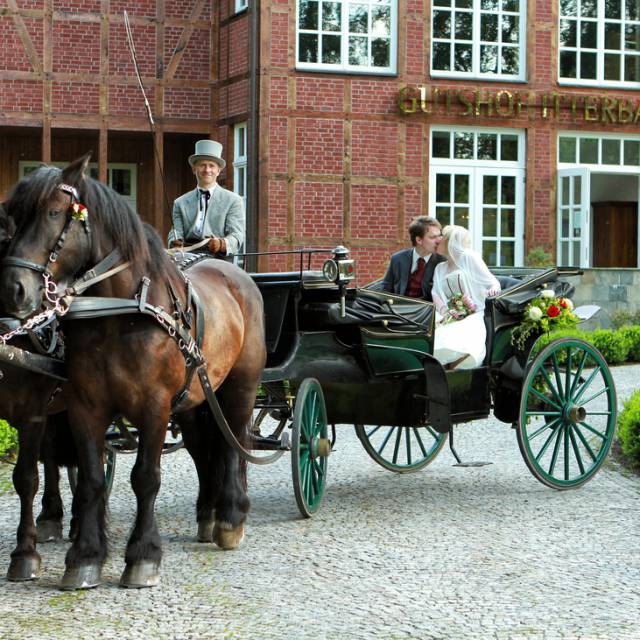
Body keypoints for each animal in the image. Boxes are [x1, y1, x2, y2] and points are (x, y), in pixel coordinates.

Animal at [0, 156, 264, 592]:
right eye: (12, 218)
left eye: (53, 213)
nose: (14, 290)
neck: (118, 311)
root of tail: (237, 277)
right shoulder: (84, 405)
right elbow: (90, 478)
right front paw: (85, 557)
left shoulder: (153, 406)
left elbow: (145, 477)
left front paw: (142, 556)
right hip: (193, 400)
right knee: (201, 448)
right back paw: (207, 514)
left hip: (239, 387)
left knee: (233, 443)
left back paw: (231, 517)